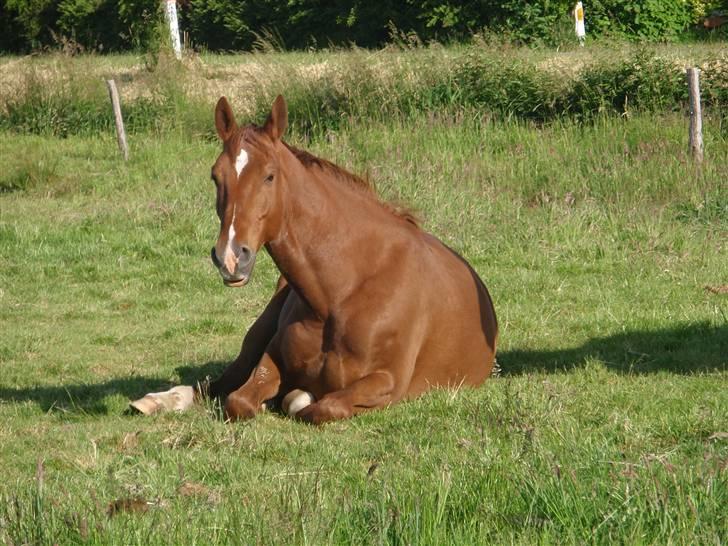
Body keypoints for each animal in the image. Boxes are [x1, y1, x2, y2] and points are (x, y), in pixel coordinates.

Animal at [134, 95, 498, 422]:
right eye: (215, 176)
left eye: (269, 175)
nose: (231, 257)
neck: (343, 291)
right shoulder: (271, 360)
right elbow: (239, 400)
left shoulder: (388, 383)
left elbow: (321, 407)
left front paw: (294, 398)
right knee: (216, 384)